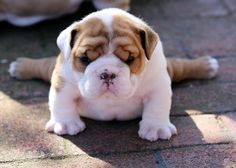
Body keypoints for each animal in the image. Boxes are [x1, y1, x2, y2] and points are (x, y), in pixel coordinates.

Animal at [9, 8, 219, 142]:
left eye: (130, 59)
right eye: (85, 58)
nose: (107, 73)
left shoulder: (158, 84)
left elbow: (157, 106)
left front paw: (156, 128)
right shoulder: (63, 81)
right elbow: (61, 102)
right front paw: (66, 124)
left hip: (171, 68)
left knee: (181, 66)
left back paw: (207, 66)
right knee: (42, 66)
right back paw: (20, 66)